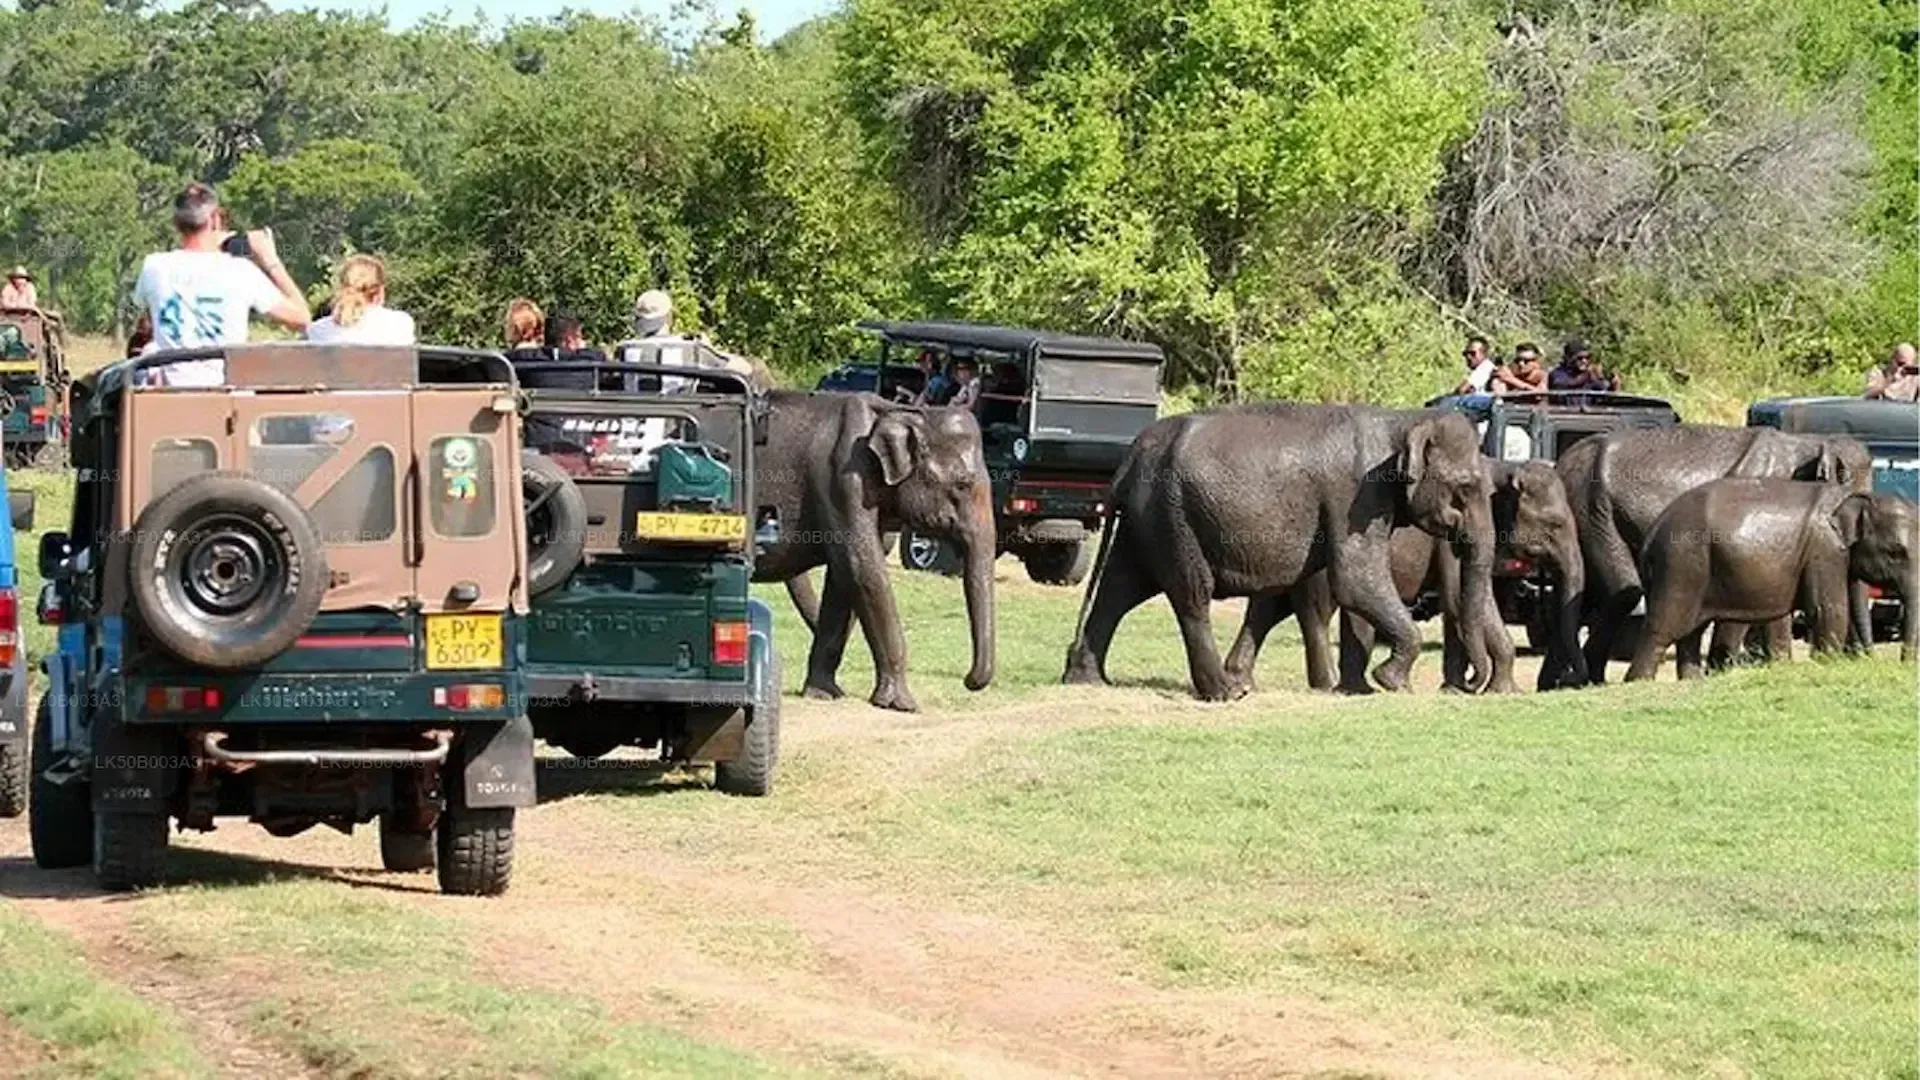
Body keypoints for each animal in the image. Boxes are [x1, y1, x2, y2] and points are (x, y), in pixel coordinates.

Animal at [753, 392, 995, 712]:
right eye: (962, 484)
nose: (968, 681)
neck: (901, 411)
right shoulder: (842, 479)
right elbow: (863, 568)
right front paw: (902, 704)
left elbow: (844, 578)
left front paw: (825, 693)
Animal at [1061, 404, 1506, 701]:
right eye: (1465, 487)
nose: (1471, 685)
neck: (1402, 420)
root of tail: (1128, 462)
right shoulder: (1356, 497)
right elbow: (1354, 580)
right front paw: (1391, 681)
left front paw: (1372, 685)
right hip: (1174, 518)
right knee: (1190, 594)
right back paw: (1227, 693)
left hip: (1146, 521)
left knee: (1119, 588)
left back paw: (1087, 680)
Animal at [1221, 460, 1583, 695]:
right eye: (1554, 524)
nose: (1567, 681)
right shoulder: (1451, 536)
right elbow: (1457, 598)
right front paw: (1482, 690)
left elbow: (1465, 602)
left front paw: (1478, 690)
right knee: (1316, 611)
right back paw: (1331, 685)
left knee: (1267, 609)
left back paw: (1241, 682)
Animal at [1550, 425, 1873, 686]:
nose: (1863, 657)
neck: (1810, 441)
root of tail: (1562, 463)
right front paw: (1724, 669)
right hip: (1595, 513)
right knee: (1623, 593)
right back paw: (1588, 680)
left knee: (1583, 598)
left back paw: (1557, 684)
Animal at [1627, 480, 1918, 681]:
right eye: (1895, 553)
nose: (1905, 664)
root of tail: (1652, 532)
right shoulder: (1825, 551)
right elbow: (1829, 609)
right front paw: (1828, 663)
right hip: (1680, 565)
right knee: (1663, 629)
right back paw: (1639, 682)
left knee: (1690, 633)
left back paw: (1692, 681)